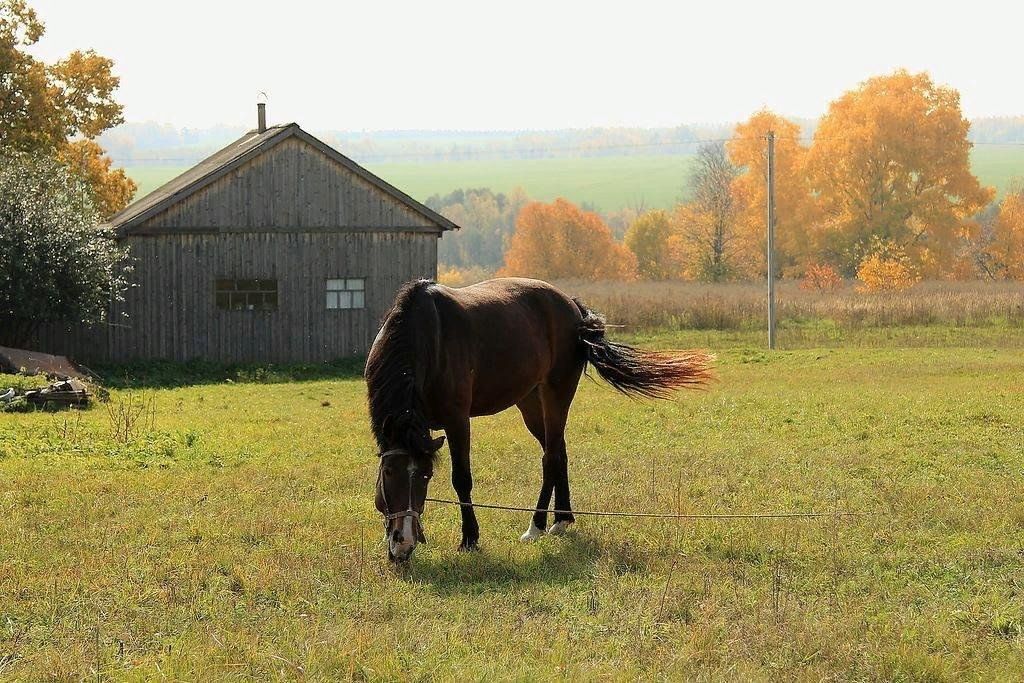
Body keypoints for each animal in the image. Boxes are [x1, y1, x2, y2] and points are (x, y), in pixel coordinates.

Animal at [366, 278, 712, 561]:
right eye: (389, 473)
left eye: (426, 476)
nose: (403, 543)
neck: (425, 339)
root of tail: (572, 307)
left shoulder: (457, 420)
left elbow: (461, 479)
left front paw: (470, 539)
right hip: (530, 402)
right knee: (557, 451)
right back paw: (563, 517)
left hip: (556, 393)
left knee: (552, 456)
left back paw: (540, 525)